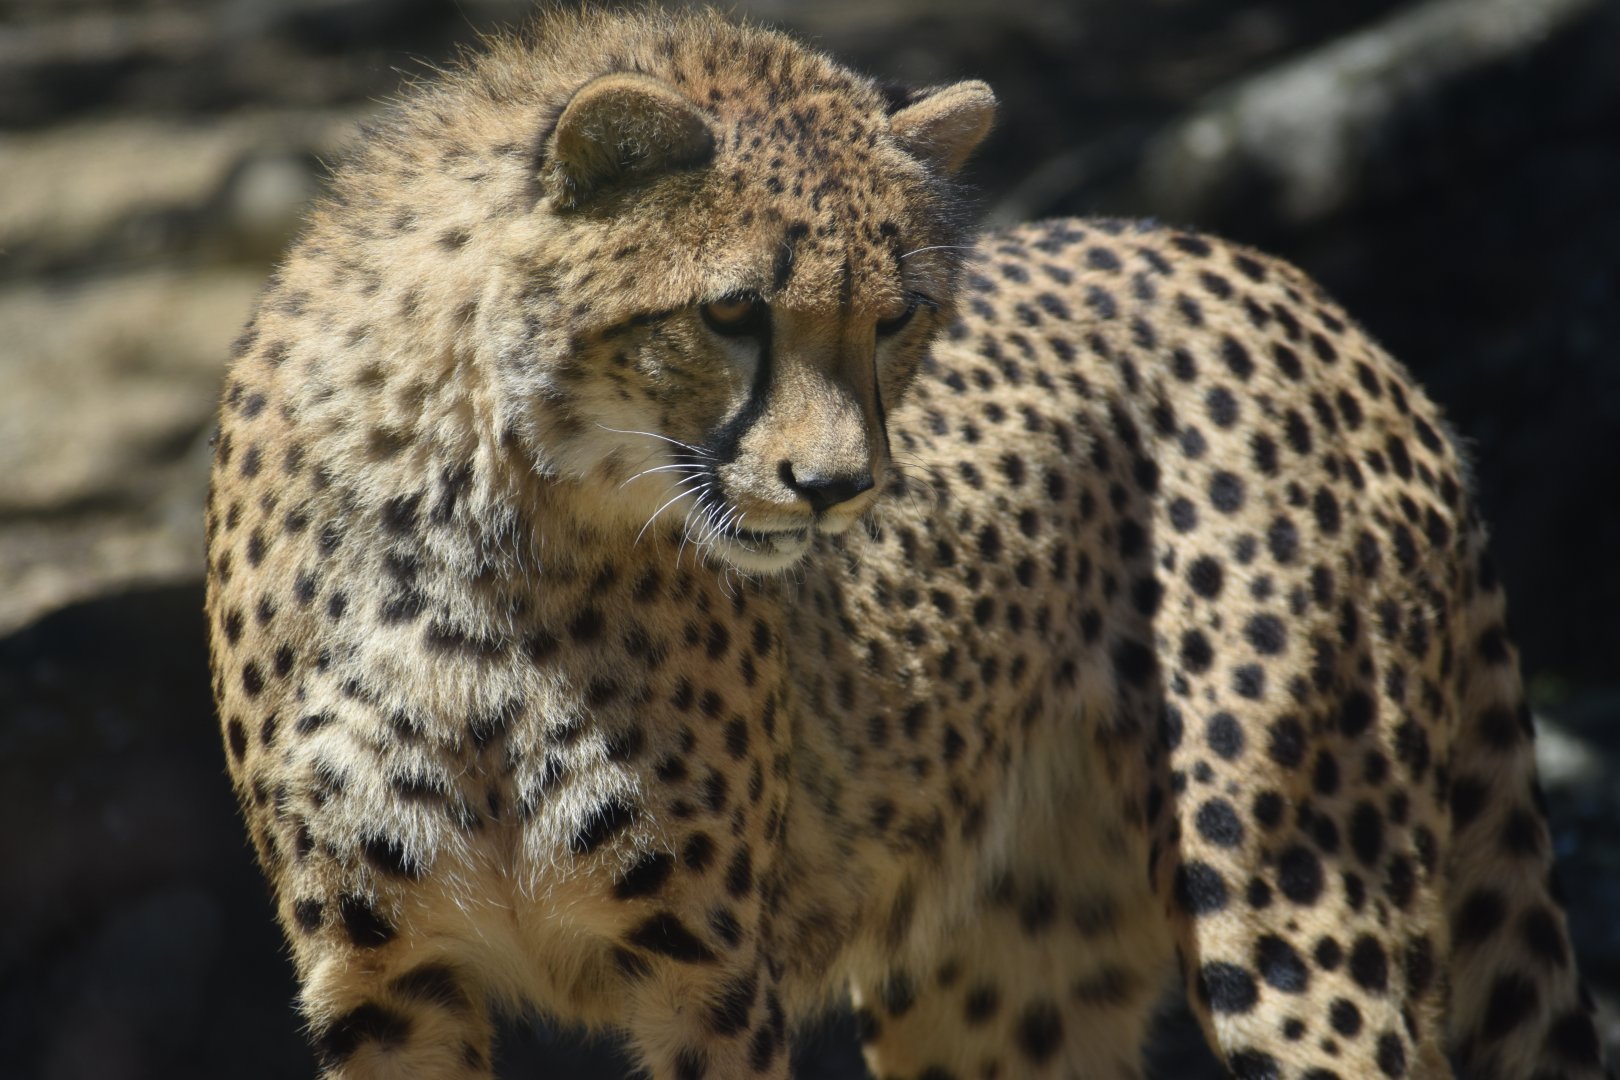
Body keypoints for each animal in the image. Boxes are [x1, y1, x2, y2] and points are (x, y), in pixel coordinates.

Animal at [204, 8, 1610, 1079]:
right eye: (732, 312)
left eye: (898, 320)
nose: (837, 489)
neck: (496, 516)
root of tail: (1296, 289)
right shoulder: (386, 974)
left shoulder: (708, 977)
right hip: (1009, 980)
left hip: (1295, 902)